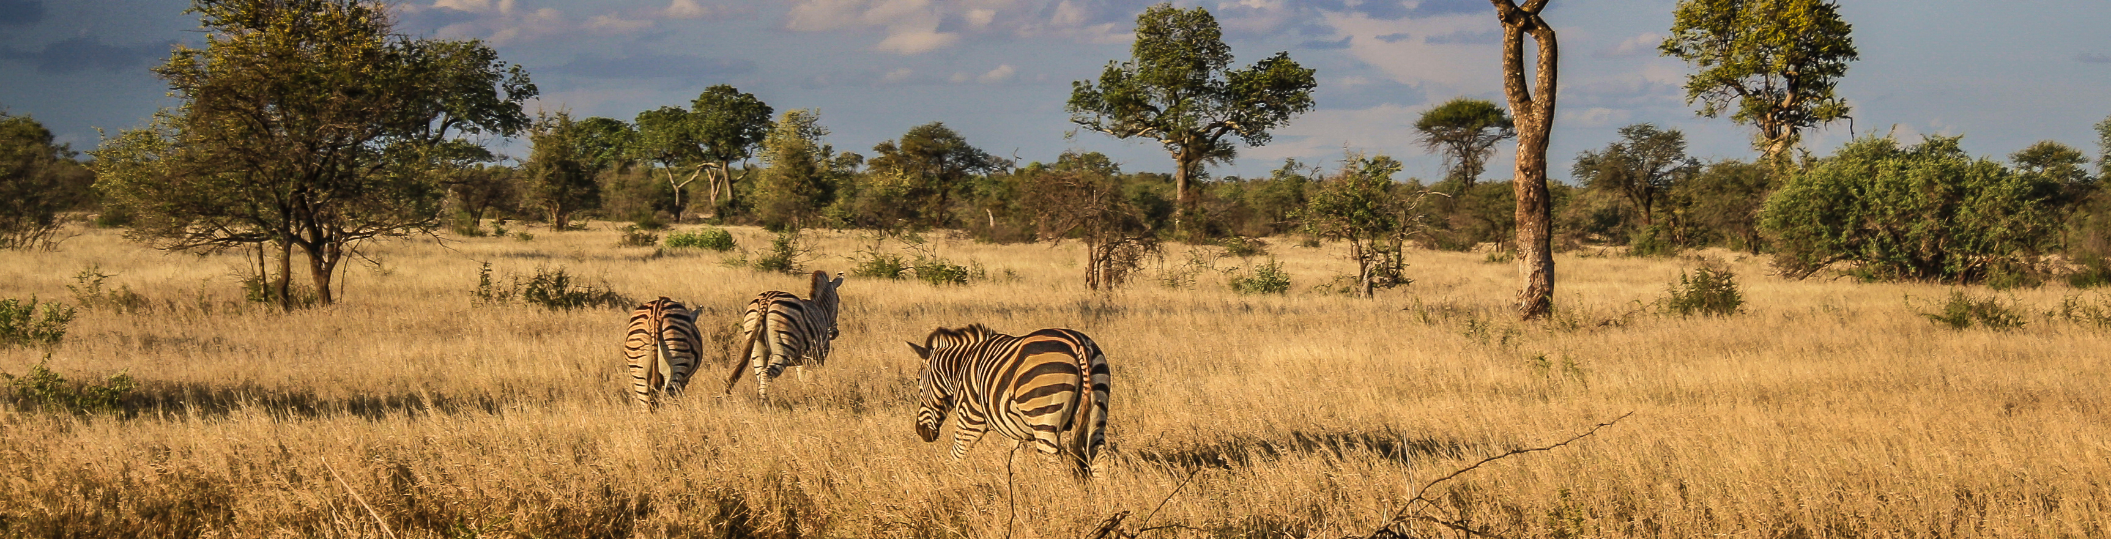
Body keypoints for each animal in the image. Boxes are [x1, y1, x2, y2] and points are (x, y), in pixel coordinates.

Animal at [723, 270, 845, 401]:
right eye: (838, 300)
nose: (835, 333)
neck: (821, 309)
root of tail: (765, 300)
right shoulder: (818, 355)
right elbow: (813, 378)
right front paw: (816, 395)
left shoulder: (803, 360)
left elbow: (803, 379)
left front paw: (807, 395)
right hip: (784, 349)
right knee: (766, 373)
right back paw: (765, 403)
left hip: (757, 346)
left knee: (760, 374)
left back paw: (762, 400)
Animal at [908, 324, 1111, 478]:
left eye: (917, 380)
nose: (920, 431)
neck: (960, 367)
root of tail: (1077, 343)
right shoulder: (1015, 429)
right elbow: (1016, 460)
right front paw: (1017, 487)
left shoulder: (970, 418)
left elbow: (956, 454)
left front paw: (950, 481)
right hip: (1097, 409)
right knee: (1099, 459)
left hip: (1044, 417)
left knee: (1054, 464)